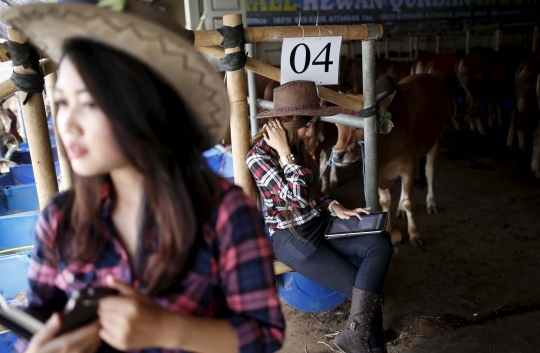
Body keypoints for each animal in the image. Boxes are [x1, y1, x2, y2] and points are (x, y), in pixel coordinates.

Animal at [320, 73, 448, 246]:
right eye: (337, 125)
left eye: (359, 127)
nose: (337, 156)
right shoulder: (378, 172)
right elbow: (385, 201)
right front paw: (388, 229)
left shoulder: (408, 167)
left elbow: (408, 201)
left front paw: (414, 234)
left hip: (437, 138)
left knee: (429, 171)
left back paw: (431, 203)